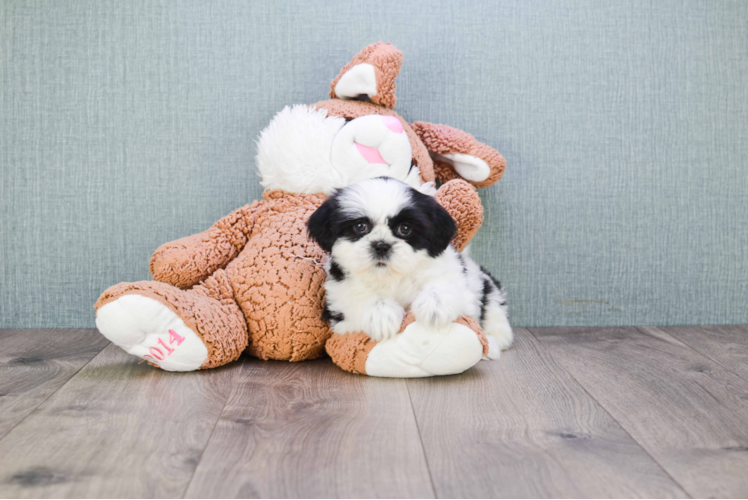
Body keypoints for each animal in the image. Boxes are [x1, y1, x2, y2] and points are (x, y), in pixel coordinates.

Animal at [306, 178, 512, 358]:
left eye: (405, 229)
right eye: (360, 226)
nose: (381, 245)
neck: (391, 276)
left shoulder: (455, 277)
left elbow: (445, 284)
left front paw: (434, 306)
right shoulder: (338, 299)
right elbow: (357, 296)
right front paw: (381, 315)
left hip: (491, 297)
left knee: (499, 327)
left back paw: (491, 346)